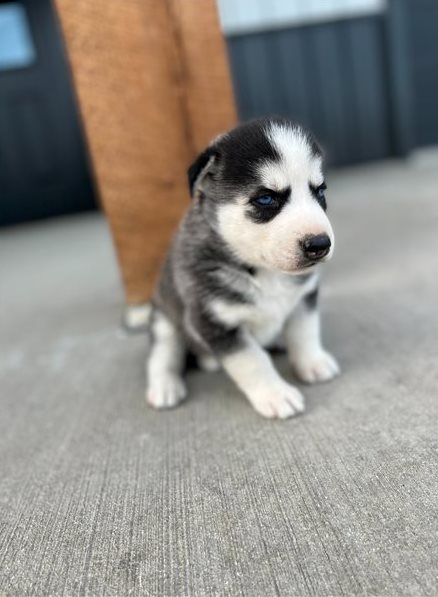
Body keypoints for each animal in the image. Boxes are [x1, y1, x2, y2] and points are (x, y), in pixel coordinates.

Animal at [145, 115, 340, 414]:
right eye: (266, 198)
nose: (320, 244)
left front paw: (313, 362)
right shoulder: (214, 320)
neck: (265, 274)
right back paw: (165, 385)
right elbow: (252, 361)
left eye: (320, 191)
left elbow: (305, 332)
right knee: (163, 353)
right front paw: (275, 394)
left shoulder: (304, 297)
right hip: (164, 319)